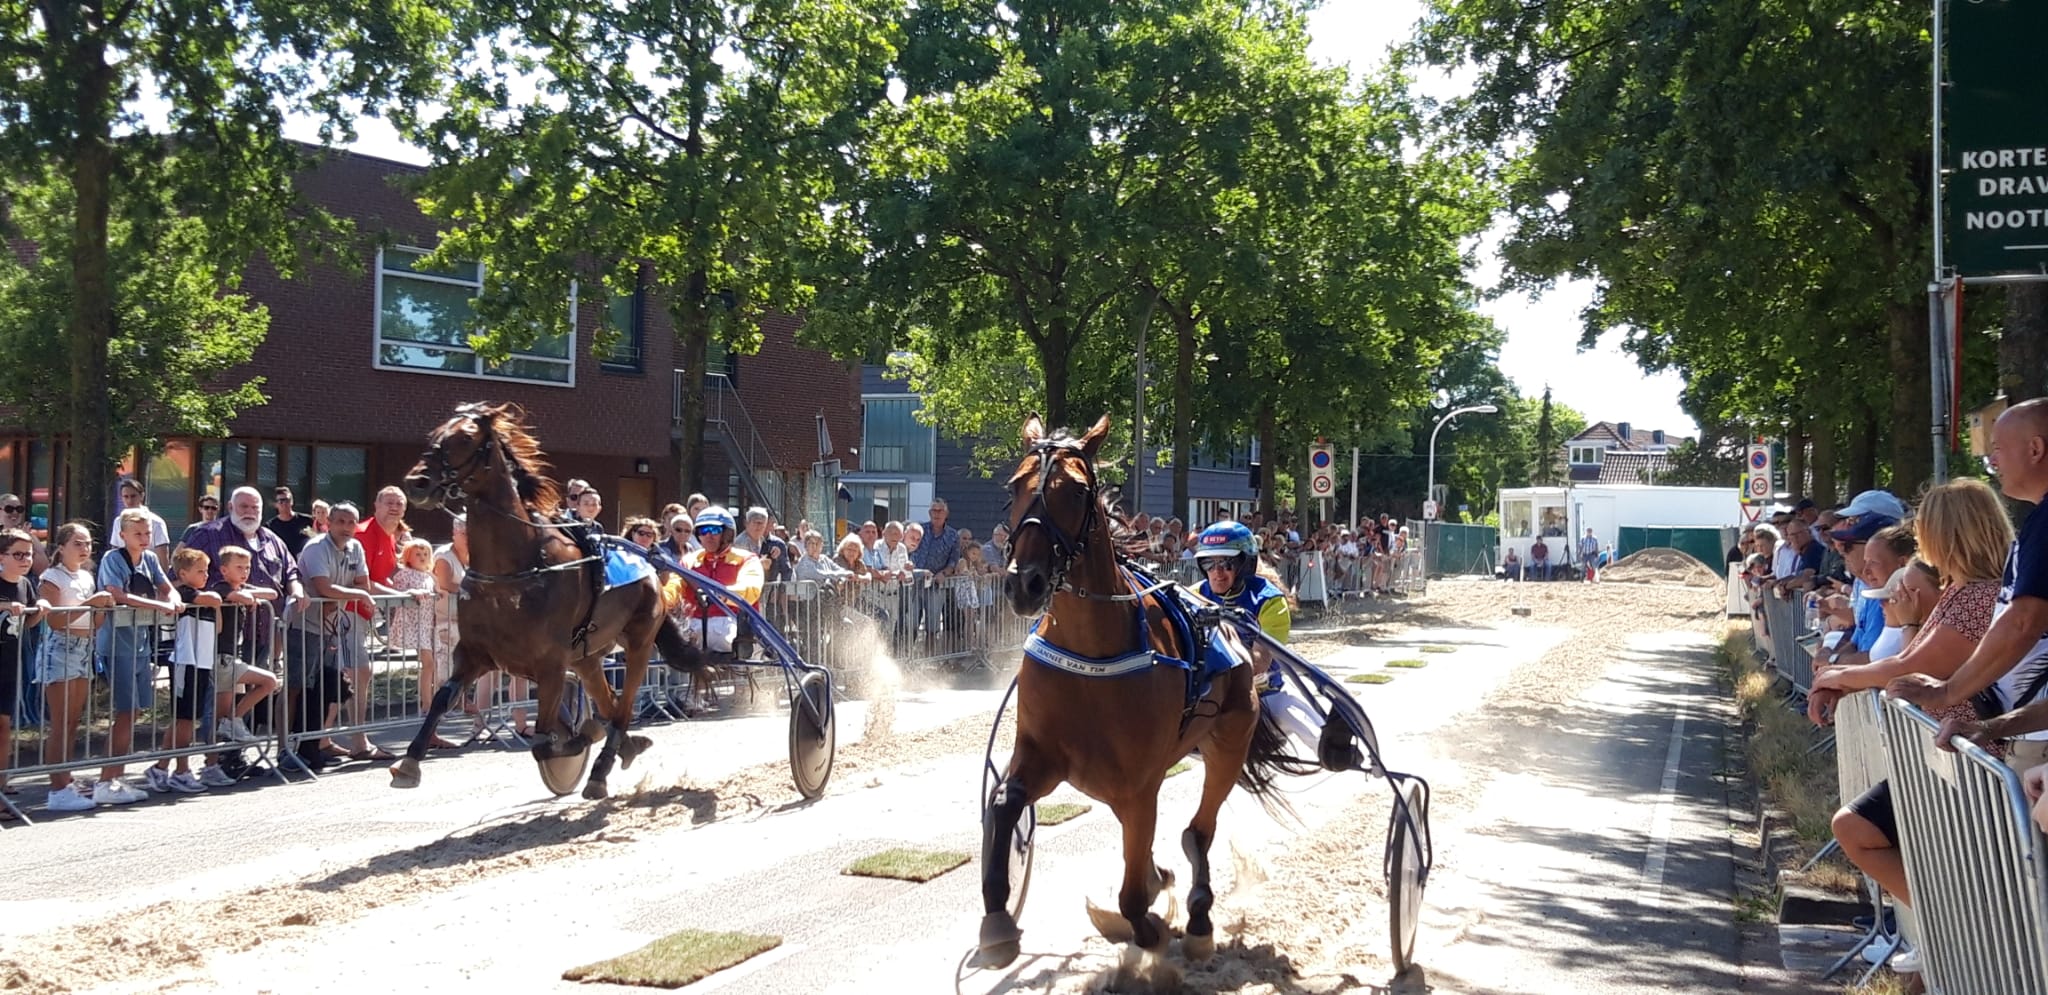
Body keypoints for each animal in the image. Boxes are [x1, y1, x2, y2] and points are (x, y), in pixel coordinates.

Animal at [389, 401, 704, 798]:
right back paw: (626, 749)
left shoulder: (551, 663)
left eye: (464, 438)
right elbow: (443, 699)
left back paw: (600, 770)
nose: (417, 483)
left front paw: (580, 736)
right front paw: (409, 762)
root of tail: (651, 569)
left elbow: (544, 740)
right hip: (588, 658)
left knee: (622, 708)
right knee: (611, 703)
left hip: (639, 643)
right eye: (434, 434)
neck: (515, 570)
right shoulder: (474, 653)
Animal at [978, 413, 1294, 986]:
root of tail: (1233, 632)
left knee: (1198, 832)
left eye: (1077, 491)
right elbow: (1006, 802)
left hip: (1228, 743)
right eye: (1014, 486)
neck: (1091, 651)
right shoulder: (1044, 755)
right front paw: (997, 923)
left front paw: (1151, 928)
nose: (1024, 584)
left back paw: (1196, 922)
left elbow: (1133, 893)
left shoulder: (1139, 781)